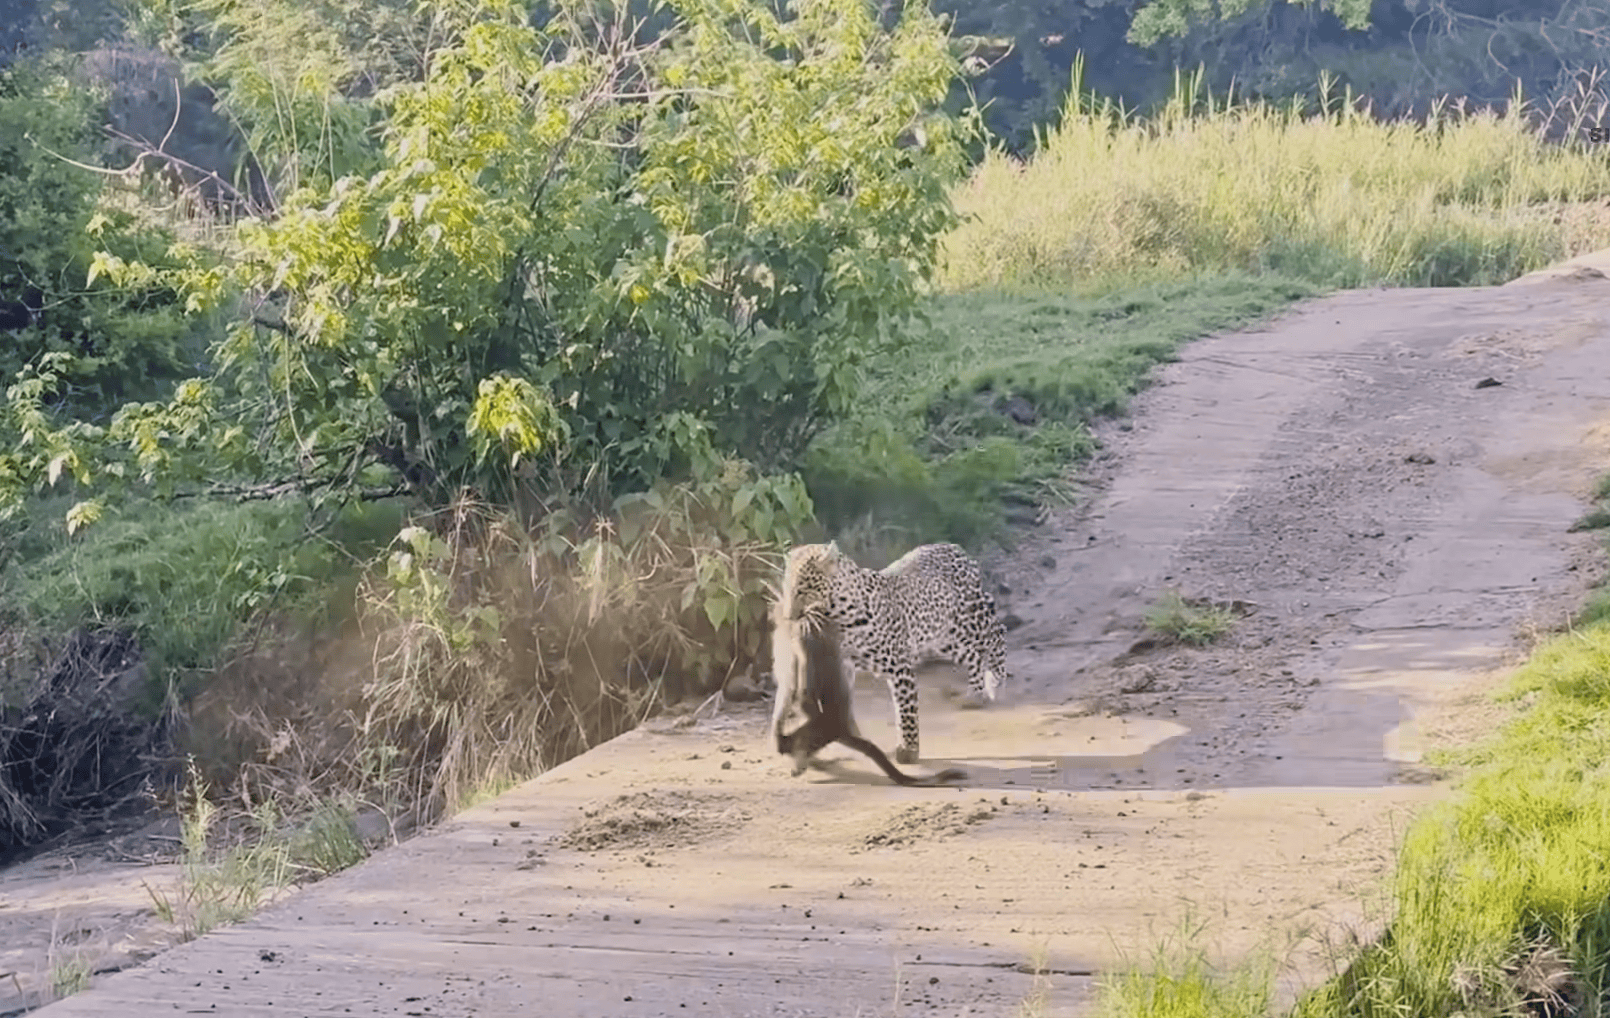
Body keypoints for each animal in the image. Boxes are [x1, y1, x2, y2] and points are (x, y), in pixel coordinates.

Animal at [769, 599, 959, 792]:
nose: (789, 612)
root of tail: (840, 730)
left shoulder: (807, 649)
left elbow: (804, 697)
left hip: (815, 728)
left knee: (792, 737)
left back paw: (795, 756)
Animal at [776, 541, 1004, 763]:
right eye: (785, 588)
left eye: (803, 589)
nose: (787, 616)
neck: (838, 615)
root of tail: (956, 547)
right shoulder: (845, 666)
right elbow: (845, 706)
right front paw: (855, 740)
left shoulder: (900, 667)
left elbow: (906, 711)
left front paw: (909, 751)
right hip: (943, 637)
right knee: (973, 654)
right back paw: (975, 695)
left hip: (970, 620)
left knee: (997, 632)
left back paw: (994, 683)